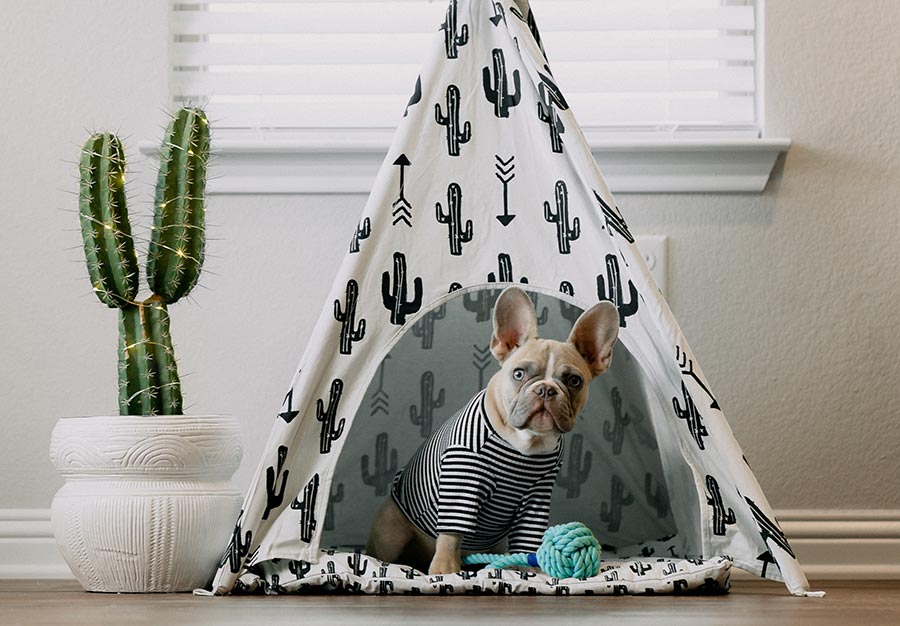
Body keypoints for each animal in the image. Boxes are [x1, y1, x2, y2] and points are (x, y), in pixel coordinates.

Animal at [366, 286, 620, 572]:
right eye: (519, 374)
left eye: (574, 381)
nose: (545, 389)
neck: (526, 443)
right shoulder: (461, 483)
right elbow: (451, 533)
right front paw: (445, 570)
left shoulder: (537, 495)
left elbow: (527, 538)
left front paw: (531, 570)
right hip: (391, 530)